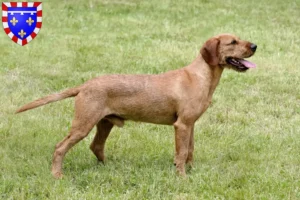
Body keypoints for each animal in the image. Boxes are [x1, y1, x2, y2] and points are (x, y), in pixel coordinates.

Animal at [15, 33, 256, 178]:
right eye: (232, 42)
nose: (255, 45)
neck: (200, 76)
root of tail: (85, 85)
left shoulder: (191, 125)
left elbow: (190, 151)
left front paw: (191, 171)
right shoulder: (182, 125)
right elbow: (181, 153)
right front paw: (182, 177)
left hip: (104, 123)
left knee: (96, 146)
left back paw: (110, 167)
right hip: (83, 124)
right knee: (60, 147)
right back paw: (57, 174)